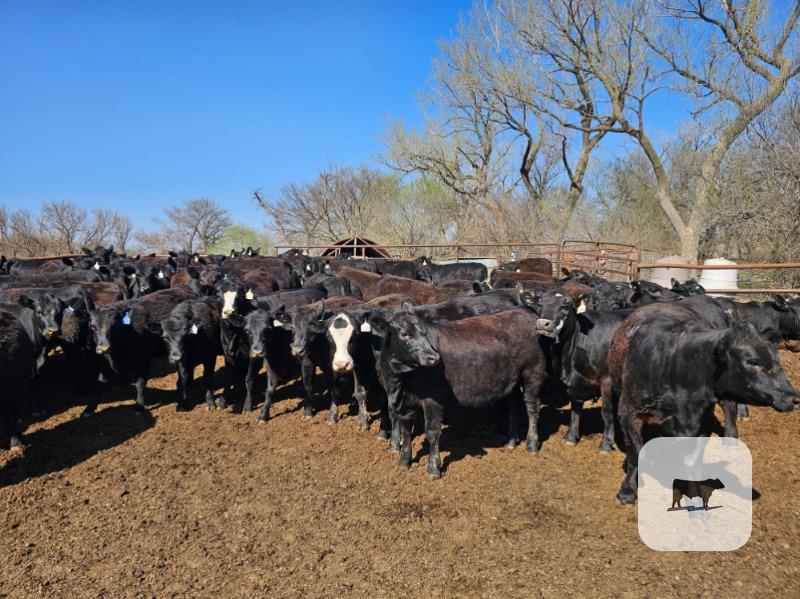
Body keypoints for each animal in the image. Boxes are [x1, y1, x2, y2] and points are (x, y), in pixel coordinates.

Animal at [380, 308, 547, 478]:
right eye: (404, 334)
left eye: (424, 333)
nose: (434, 357)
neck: (399, 382)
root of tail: (525, 313)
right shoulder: (405, 402)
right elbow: (406, 429)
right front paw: (404, 461)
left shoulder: (434, 399)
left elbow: (432, 432)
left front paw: (433, 468)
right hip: (512, 381)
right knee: (514, 408)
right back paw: (511, 442)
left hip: (533, 371)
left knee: (532, 407)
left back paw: (532, 444)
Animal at [608, 303, 800, 504]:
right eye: (752, 362)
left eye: (777, 359)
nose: (794, 398)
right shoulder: (628, 412)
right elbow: (635, 452)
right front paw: (627, 491)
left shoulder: (704, 422)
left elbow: (692, 463)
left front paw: (695, 499)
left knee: (729, 406)